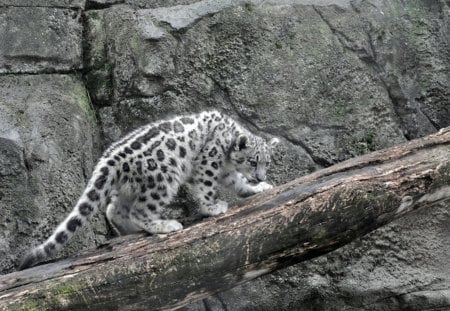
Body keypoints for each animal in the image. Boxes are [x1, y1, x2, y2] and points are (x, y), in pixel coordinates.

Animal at [19, 111, 280, 270]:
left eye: (267, 162)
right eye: (253, 161)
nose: (261, 176)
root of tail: (109, 157)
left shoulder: (226, 171)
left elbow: (239, 183)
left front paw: (258, 188)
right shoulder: (209, 162)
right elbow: (206, 186)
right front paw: (213, 207)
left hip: (129, 188)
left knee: (114, 209)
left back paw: (132, 230)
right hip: (163, 179)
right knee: (140, 210)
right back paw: (165, 225)